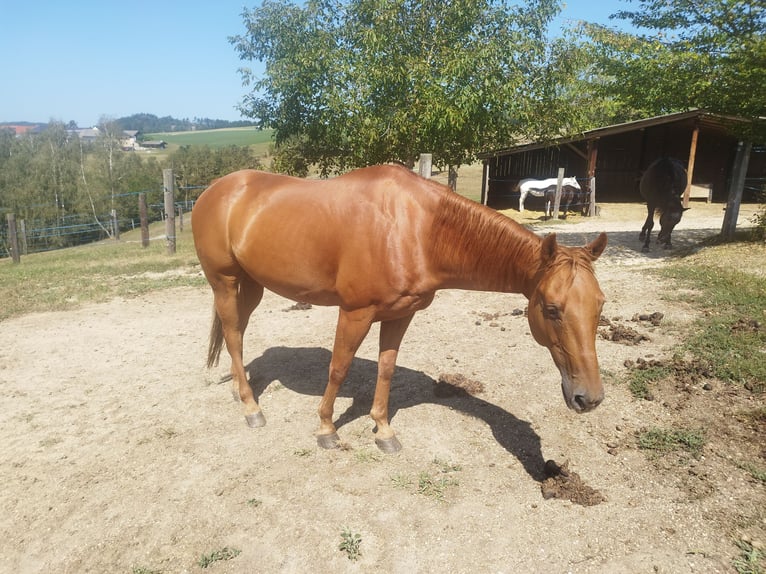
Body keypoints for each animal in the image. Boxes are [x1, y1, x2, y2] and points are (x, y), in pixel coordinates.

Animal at [194, 165, 612, 454]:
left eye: (599, 306)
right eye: (552, 309)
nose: (588, 398)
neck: (416, 229)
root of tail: (214, 190)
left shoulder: (400, 313)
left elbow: (387, 368)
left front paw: (383, 430)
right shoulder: (355, 312)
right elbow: (338, 367)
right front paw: (327, 429)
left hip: (251, 284)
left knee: (237, 332)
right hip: (224, 281)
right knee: (232, 334)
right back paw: (251, 408)